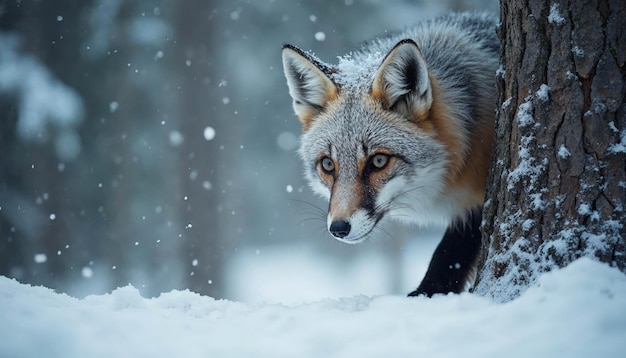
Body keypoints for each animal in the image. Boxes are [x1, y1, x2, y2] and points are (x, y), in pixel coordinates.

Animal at [282, 11, 498, 296]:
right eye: (328, 165)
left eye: (379, 161)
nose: (339, 228)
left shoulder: (478, 196)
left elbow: (450, 251)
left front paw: (426, 293)